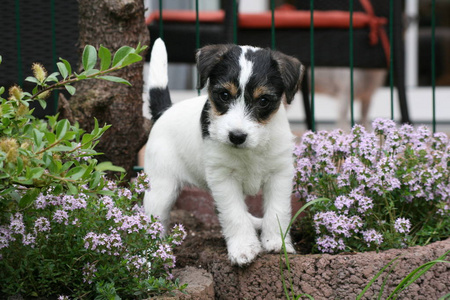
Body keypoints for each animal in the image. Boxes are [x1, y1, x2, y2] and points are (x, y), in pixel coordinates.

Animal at [144, 38, 306, 264]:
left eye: (263, 100)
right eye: (224, 95)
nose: (237, 136)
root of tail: (165, 111)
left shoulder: (280, 174)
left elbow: (277, 211)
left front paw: (276, 242)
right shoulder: (224, 179)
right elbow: (234, 214)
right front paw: (243, 248)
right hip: (161, 187)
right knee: (154, 218)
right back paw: (152, 253)